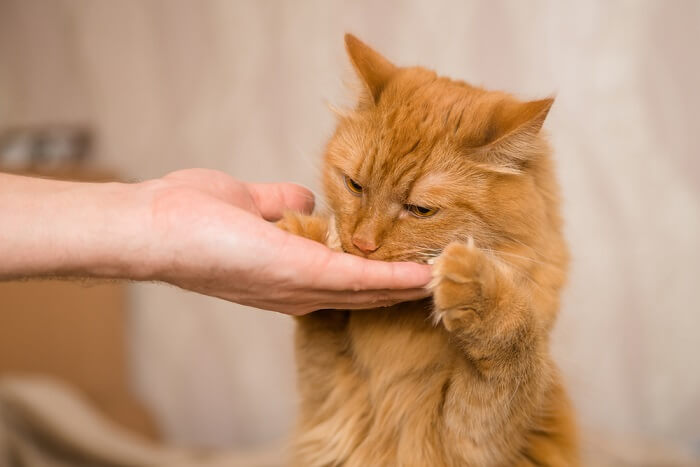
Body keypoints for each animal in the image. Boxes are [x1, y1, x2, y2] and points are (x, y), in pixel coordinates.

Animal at [276, 34, 576, 466]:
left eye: (420, 210)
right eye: (355, 186)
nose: (362, 244)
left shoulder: (474, 440)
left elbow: (513, 349)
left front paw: (476, 285)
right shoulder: (328, 403)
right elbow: (319, 328)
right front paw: (311, 237)